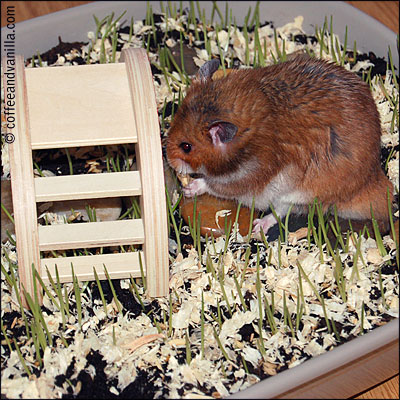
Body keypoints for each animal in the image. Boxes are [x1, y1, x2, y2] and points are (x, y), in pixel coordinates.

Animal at [166, 53, 394, 234]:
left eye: (186, 147)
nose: (169, 162)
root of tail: (372, 177)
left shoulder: (242, 179)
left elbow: (212, 184)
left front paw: (189, 188)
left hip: (297, 193)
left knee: (282, 211)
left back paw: (259, 226)